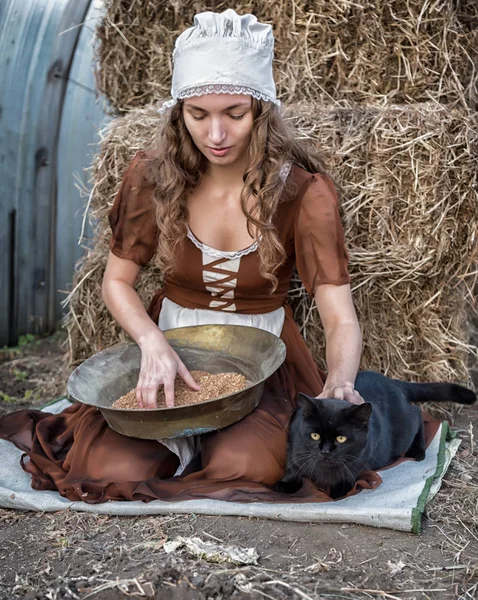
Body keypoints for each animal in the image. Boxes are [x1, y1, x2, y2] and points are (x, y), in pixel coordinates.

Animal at [274, 372, 476, 500]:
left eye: (341, 438)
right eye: (315, 435)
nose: (325, 451)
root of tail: (393, 382)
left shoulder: (358, 462)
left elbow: (345, 478)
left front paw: (338, 490)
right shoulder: (294, 450)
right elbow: (293, 472)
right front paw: (284, 485)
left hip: (404, 429)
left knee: (418, 414)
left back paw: (417, 451)